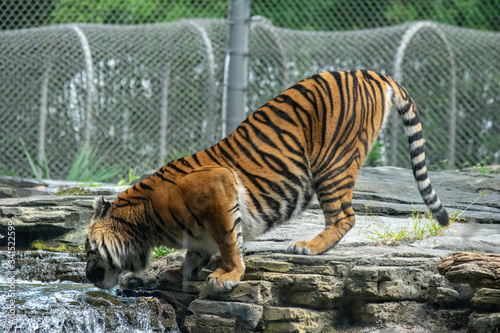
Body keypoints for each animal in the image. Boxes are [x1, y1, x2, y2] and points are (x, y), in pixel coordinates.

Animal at [85, 69, 450, 290]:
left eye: (89, 250)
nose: (87, 277)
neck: (144, 222)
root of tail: (368, 72)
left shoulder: (219, 189)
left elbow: (229, 242)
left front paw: (228, 275)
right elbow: (195, 253)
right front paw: (179, 273)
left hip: (332, 164)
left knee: (345, 216)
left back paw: (307, 246)